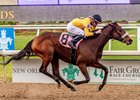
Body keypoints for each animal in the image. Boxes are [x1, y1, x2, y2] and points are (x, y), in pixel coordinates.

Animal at [2, 22, 132, 91]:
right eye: (120, 30)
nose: (130, 40)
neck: (93, 43)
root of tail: (35, 39)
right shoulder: (81, 63)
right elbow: (88, 79)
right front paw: (75, 82)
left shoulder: (93, 62)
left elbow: (106, 69)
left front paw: (100, 87)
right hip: (48, 55)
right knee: (43, 69)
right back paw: (63, 83)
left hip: (55, 57)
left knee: (56, 72)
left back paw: (69, 86)